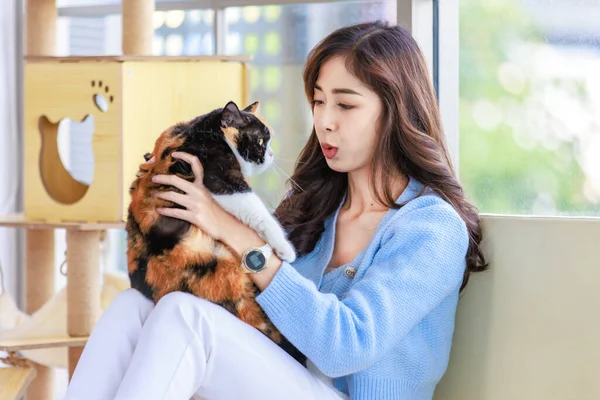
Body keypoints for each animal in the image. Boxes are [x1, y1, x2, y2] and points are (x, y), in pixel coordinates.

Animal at [126, 101, 304, 366]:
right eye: (261, 140)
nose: (271, 155)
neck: (200, 130)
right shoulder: (221, 177)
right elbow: (257, 210)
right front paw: (285, 248)